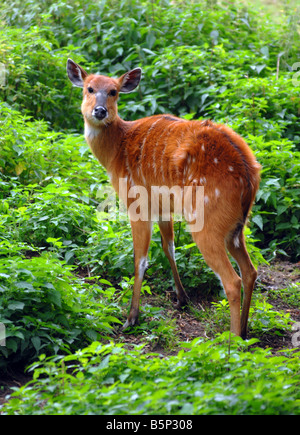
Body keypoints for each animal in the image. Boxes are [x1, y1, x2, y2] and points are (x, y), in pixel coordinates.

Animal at [67, 58, 258, 338]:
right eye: (89, 88)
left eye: (113, 91)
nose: (99, 111)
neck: (116, 150)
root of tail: (249, 175)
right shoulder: (162, 206)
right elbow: (169, 247)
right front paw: (182, 299)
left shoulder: (136, 201)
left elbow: (140, 259)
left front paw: (131, 317)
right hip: (236, 227)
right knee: (250, 271)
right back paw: (244, 332)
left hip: (207, 221)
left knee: (232, 280)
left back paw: (232, 342)